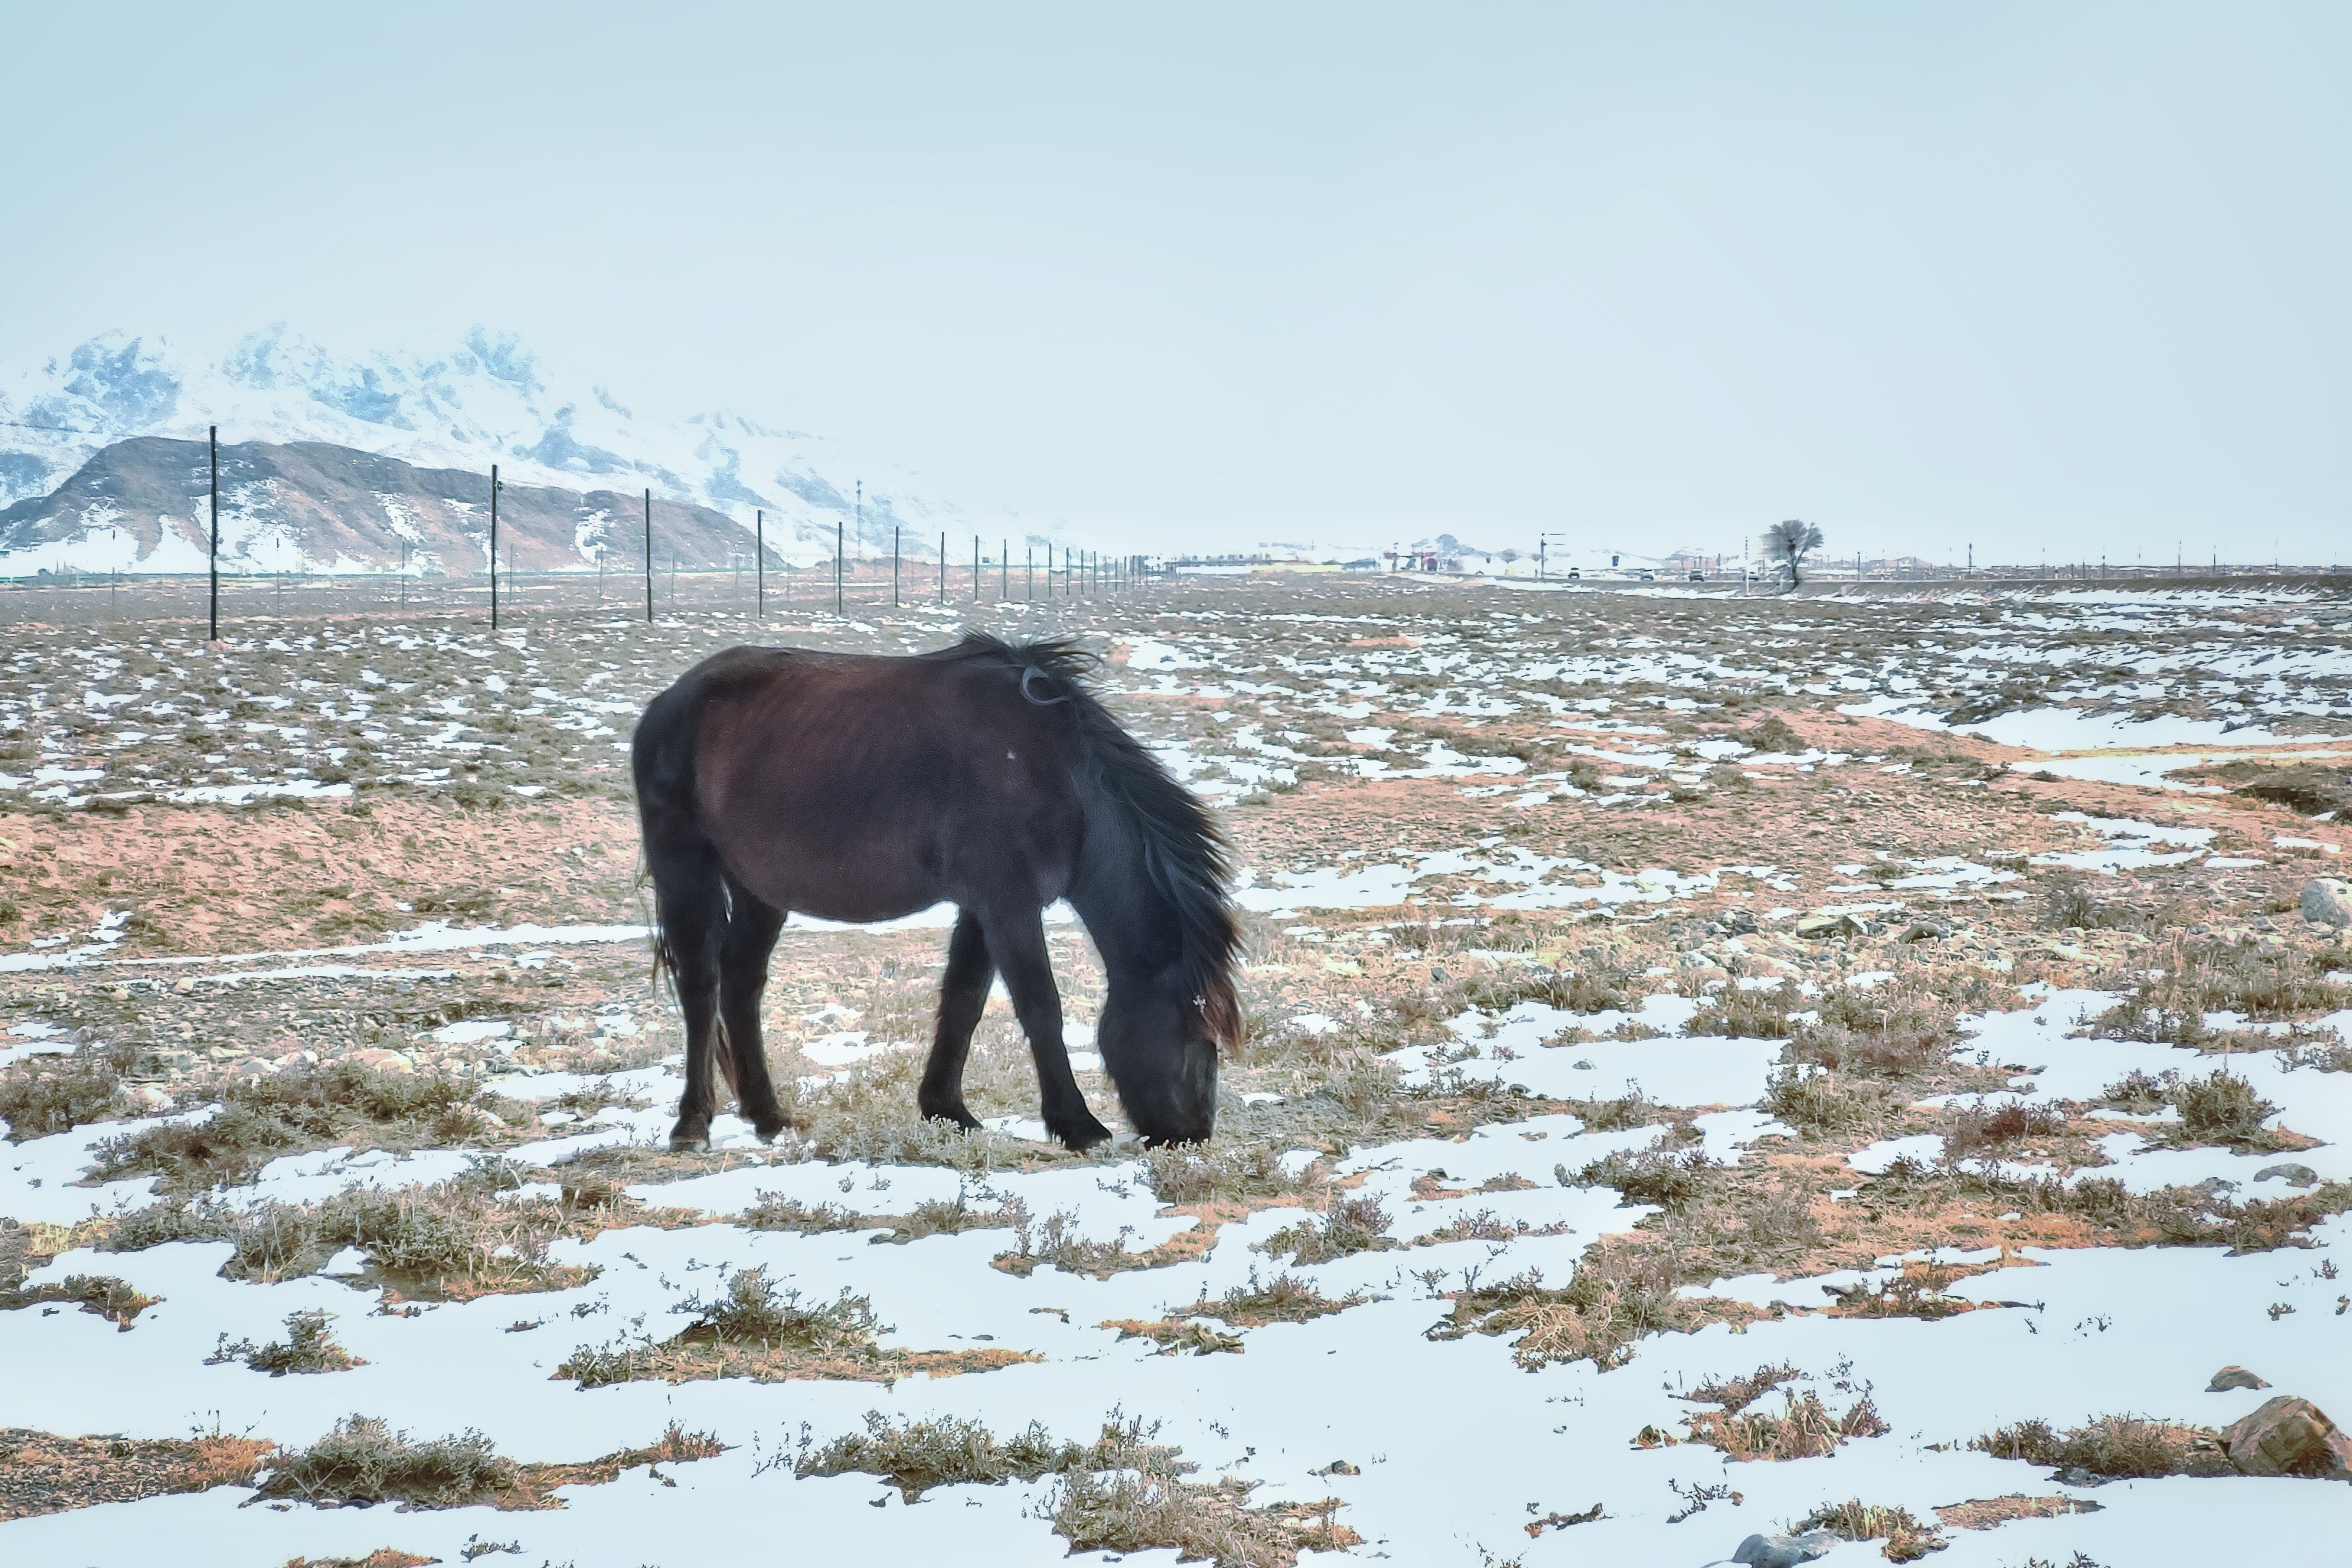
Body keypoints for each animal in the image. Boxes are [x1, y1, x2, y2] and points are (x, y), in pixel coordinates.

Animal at [629, 631, 1241, 1153]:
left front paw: (946, 1108)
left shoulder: (983, 908)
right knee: (702, 987)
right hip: (685, 866)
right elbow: (1040, 1005)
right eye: (1196, 1034)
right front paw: (1077, 1124)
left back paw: (769, 1116)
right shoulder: (1009, 905)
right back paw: (693, 1124)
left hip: (759, 889)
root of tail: (669, 700)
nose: (1193, 1134)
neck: (1057, 774)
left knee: (741, 985)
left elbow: (963, 1002)